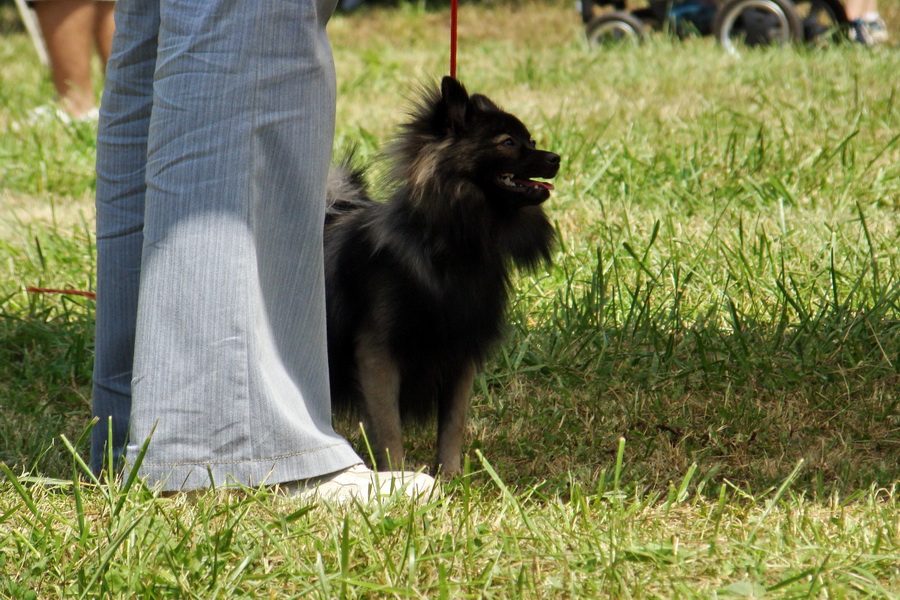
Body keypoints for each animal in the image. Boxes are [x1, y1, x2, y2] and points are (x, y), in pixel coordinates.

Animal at [324, 77, 564, 476]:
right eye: (508, 142)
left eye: (530, 140)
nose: (555, 158)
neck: (450, 246)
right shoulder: (378, 357)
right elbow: (389, 428)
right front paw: (396, 478)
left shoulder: (460, 355)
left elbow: (453, 423)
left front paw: (451, 476)